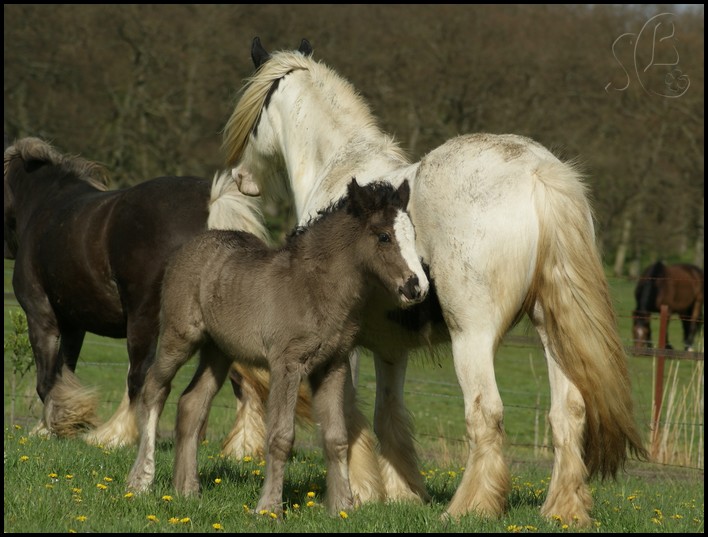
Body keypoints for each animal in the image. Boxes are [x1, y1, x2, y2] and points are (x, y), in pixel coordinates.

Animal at [3, 135, 268, 444]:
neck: (44, 202)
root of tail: (212, 206)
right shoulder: (74, 326)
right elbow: (64, 371)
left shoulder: (41, 316)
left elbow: (46, 380)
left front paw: (53, 427)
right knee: (242, 381)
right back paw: (241, 445)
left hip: (145, 321)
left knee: (142, 379)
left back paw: (114, 435)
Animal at [218, 38, 644, 528]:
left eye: (255, 119)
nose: (241, 178)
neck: (341, 167)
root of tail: (538, 174)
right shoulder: (390, 348)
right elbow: (389, 416)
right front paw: (402, 494)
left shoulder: (344, 346)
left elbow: (348, 416)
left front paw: (359, 493)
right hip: (552, 333)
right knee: (568, 414)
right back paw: (562, 510)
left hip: (472, 338)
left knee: (486, 414)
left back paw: (470, 508)